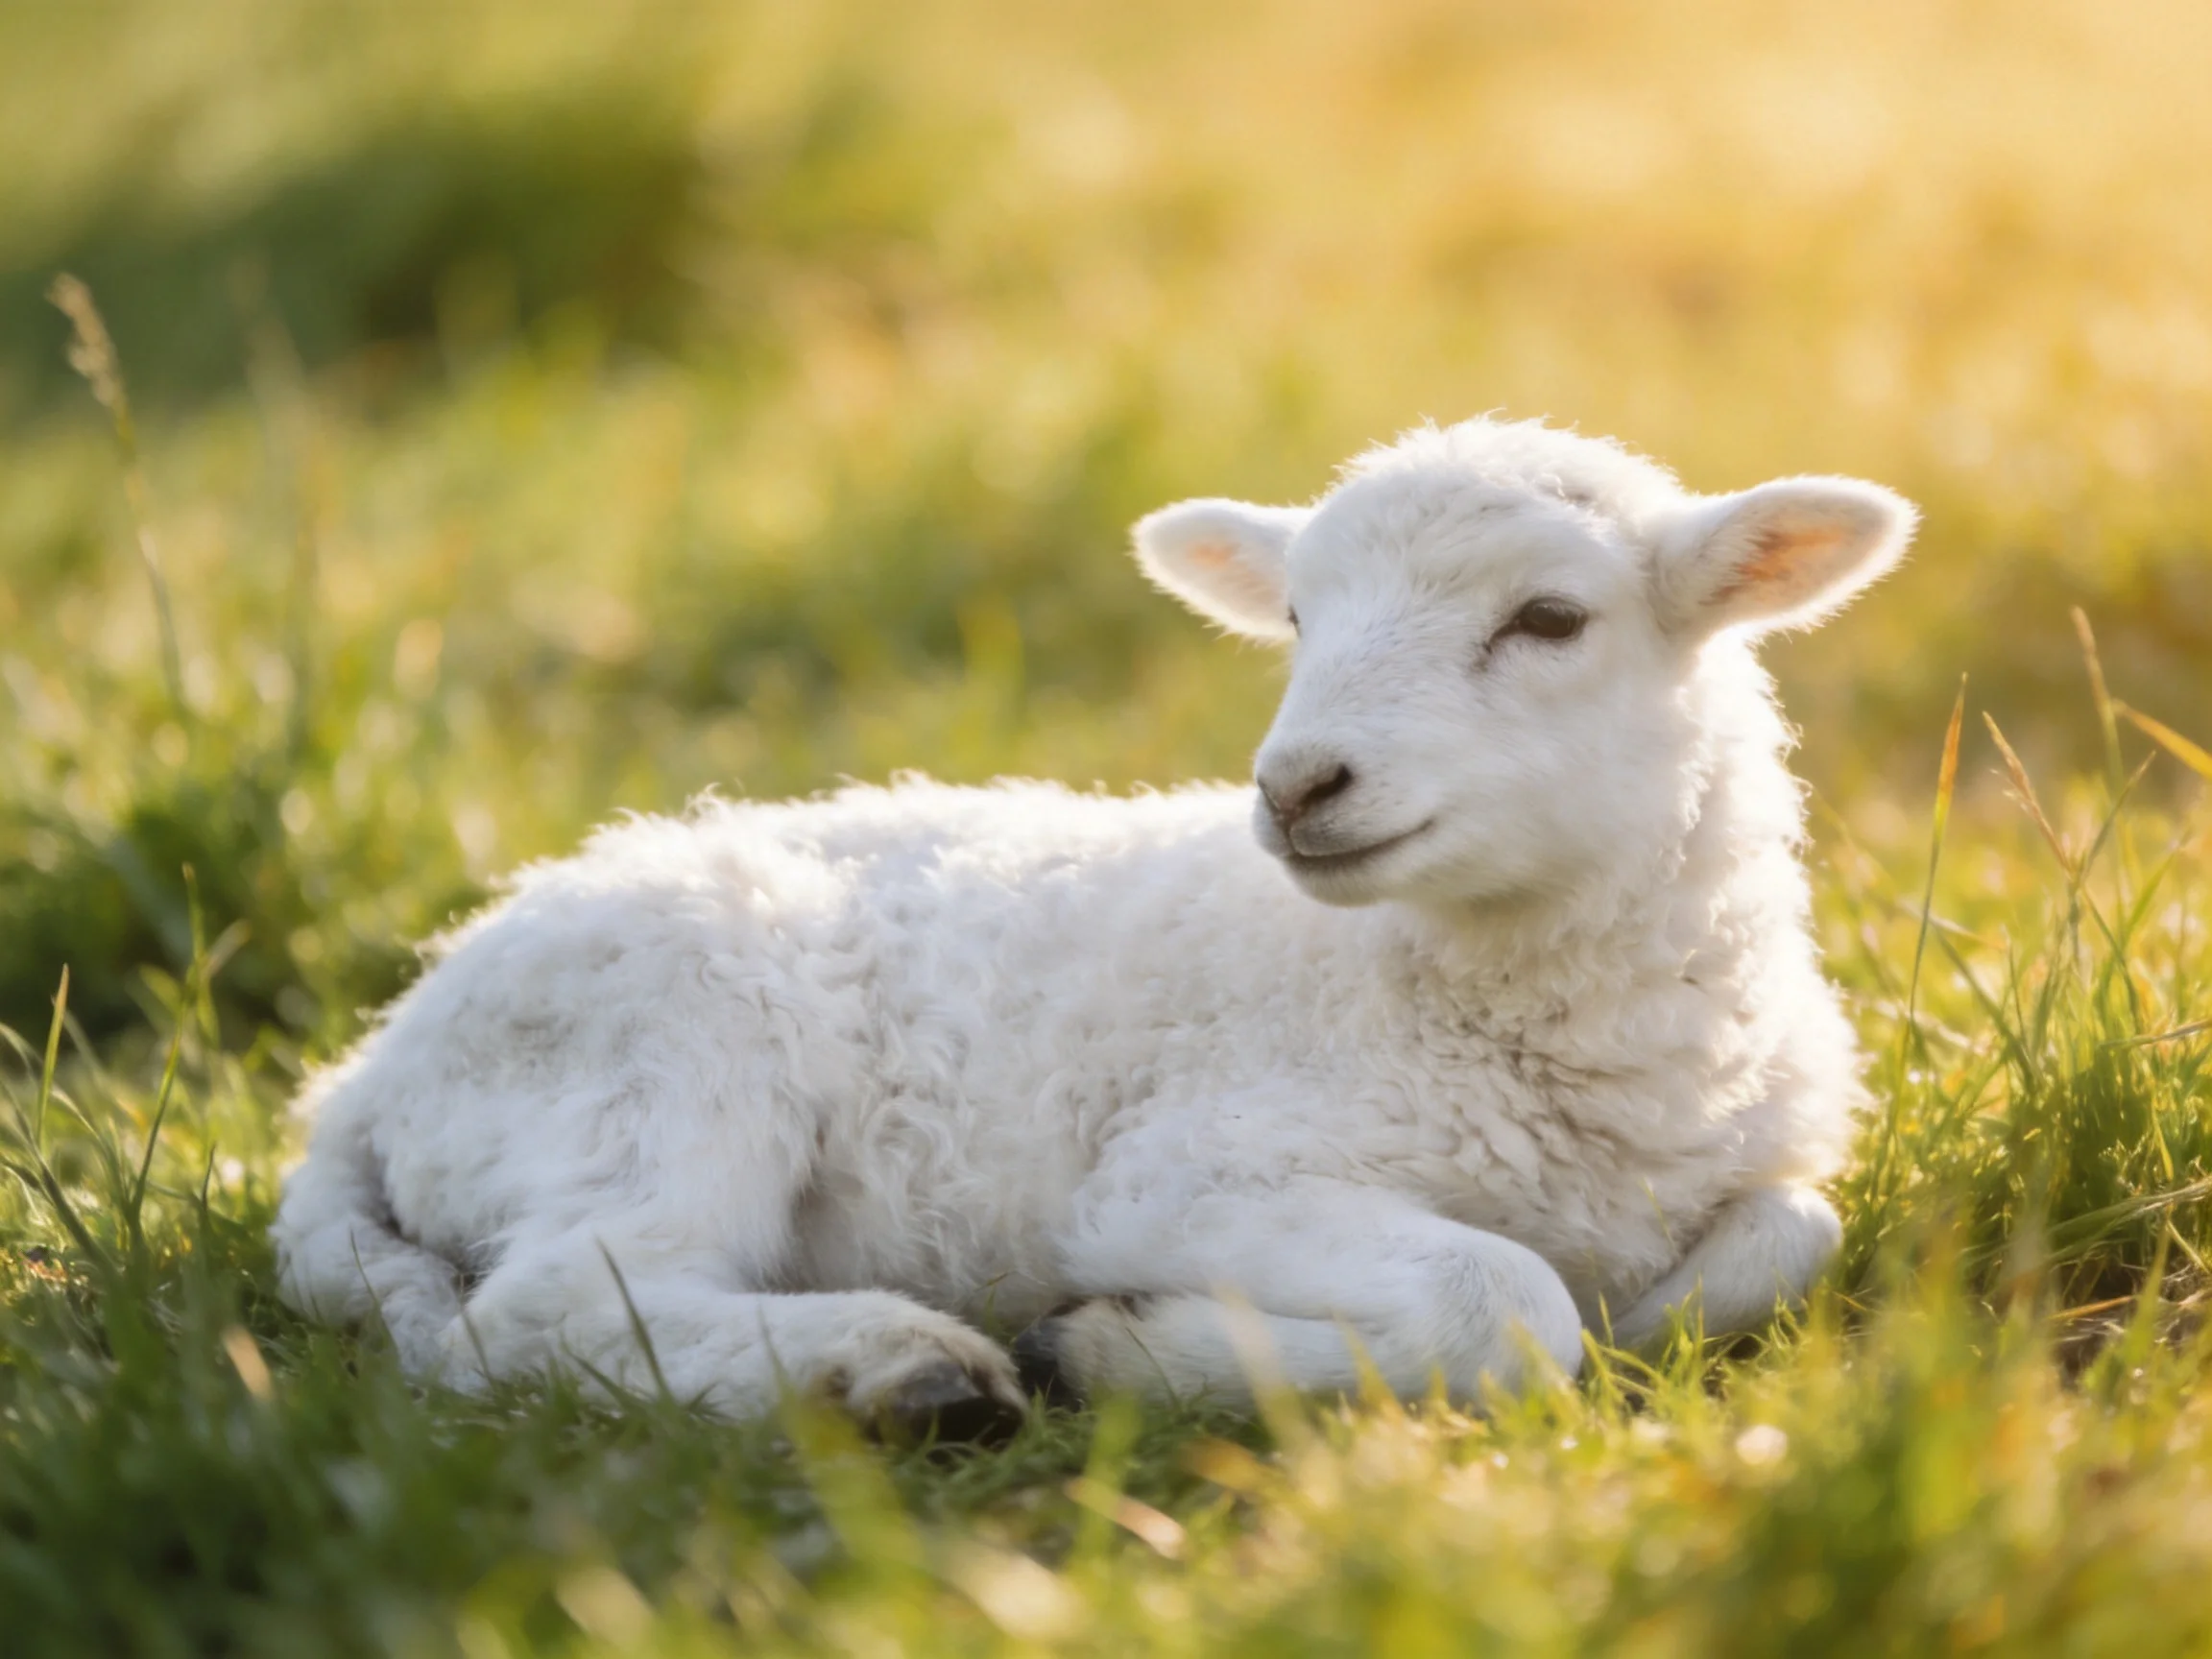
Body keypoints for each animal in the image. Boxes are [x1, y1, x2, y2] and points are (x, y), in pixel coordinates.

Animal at [272, 415, 1913, 1436]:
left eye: (1552, 621)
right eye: (1298, 621)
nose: (1298, 786)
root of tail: (370, 1070)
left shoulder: (1755, 1172)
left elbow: (1781, 1241)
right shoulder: (1184, 1170)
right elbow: (1506, 1302)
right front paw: (1130, 1348)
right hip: (660, 1062)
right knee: (544, 1314)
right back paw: (905, 1373)